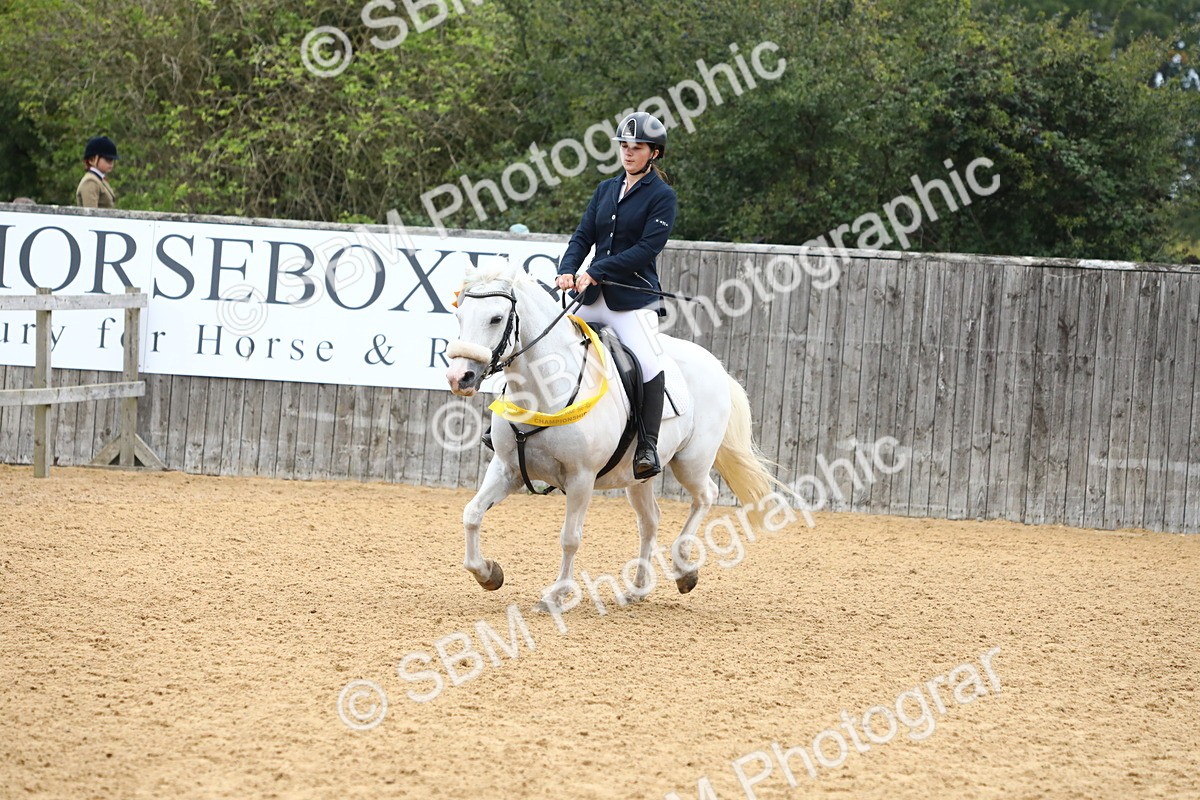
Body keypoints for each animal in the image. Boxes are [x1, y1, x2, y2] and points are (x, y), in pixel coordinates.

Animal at [445, 265, 781, 610]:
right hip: (638, 477)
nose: (459, 378)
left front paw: (556, 594)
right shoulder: (506, 468)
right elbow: (471, 514)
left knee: (705, 496)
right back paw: (638, 589)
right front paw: (488, 574)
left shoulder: (581, 478)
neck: (545, 387)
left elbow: (570, 538)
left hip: (692, 462)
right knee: (650, 520)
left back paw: (683, 569)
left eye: (496, 318)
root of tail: (716, 366)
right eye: (459, 316)